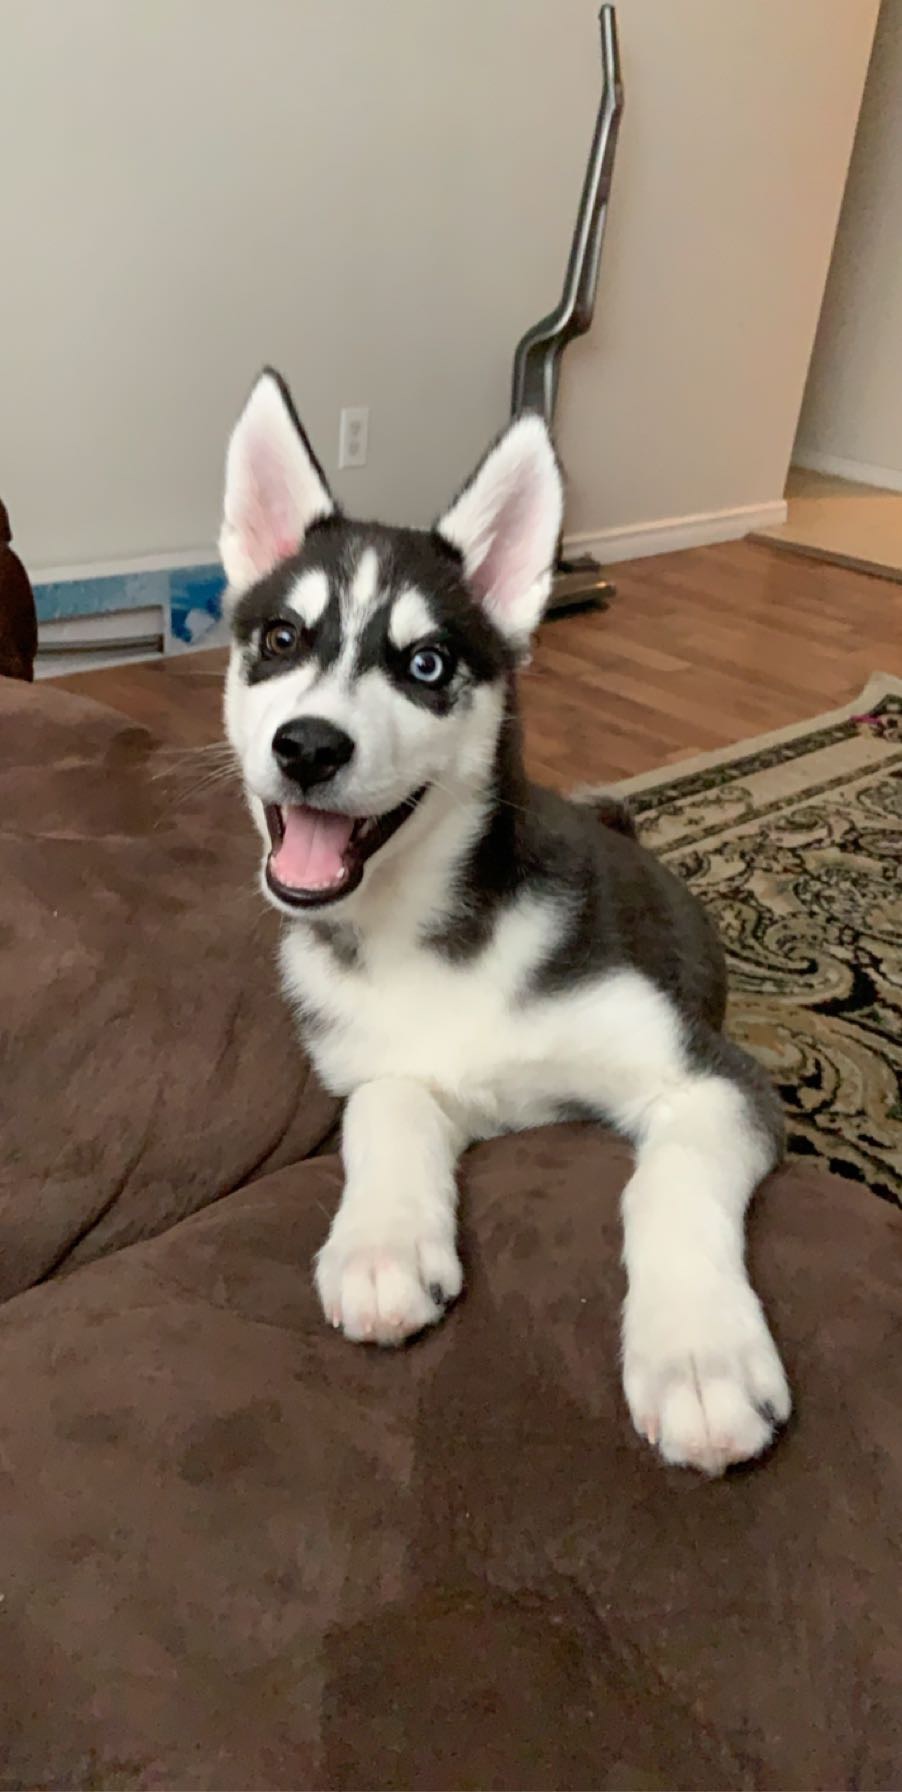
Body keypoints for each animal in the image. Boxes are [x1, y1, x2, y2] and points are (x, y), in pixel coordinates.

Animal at [220, 369, 791, 1475]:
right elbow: (383, 1106)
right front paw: (383, 1245)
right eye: (280, 640)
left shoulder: (708, 1078)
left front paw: (698, 1359)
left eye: (428, 665)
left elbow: (665, 1180)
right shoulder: (396, 1067)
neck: (426, 934)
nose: (307, 746)